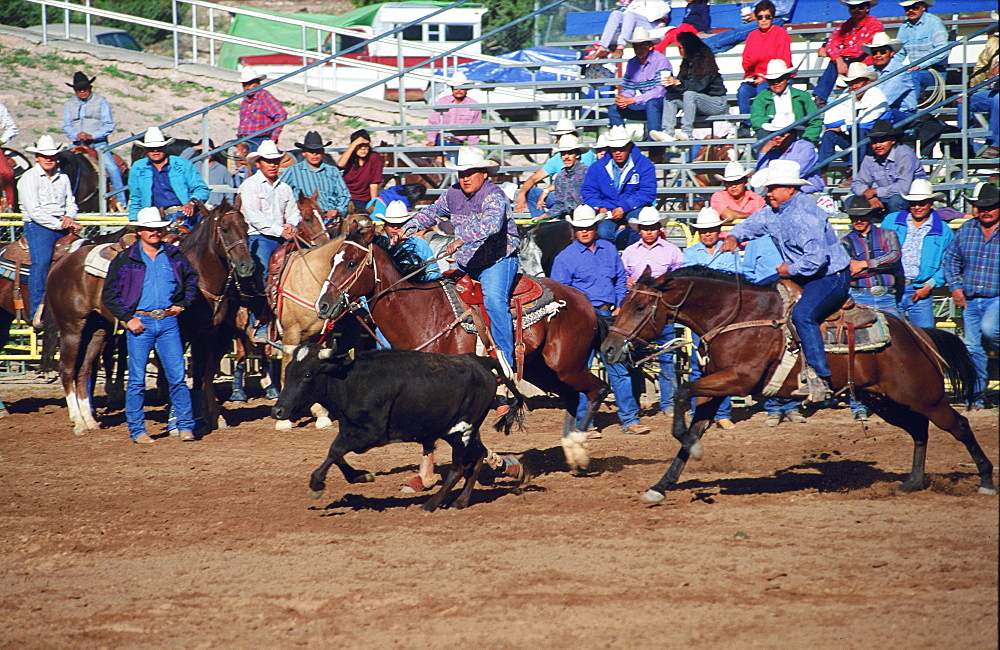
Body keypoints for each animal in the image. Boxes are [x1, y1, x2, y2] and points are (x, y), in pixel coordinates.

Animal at [180, 200, 258, 428]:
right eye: (224, 229)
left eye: (246, 228)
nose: (247, 265)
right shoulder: (187, 335)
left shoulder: (210, 333)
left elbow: (205, 372)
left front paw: (212, 416)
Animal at [312, 227, 608, 470]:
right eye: (332, 260)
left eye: (351, 263)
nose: (322, 305)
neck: (422, 312)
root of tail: (583, 301)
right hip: (543, 369)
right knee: (572, 397)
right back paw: (571, 452)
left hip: (567, 366)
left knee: (597, 390)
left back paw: (579, 448)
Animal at [596, 266, 996, 504]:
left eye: (638, 307)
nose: (608, 348)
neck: (736, 317)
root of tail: (915, 333)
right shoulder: (715, 387)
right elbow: (692, 426)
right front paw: (661, 486)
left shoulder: (736, 379)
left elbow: (681, 395)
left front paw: (688, 448)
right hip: (883, 400)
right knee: (919, 430)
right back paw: (913, 482)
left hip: (923, 396)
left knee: (957, 425)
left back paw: (986, 480)